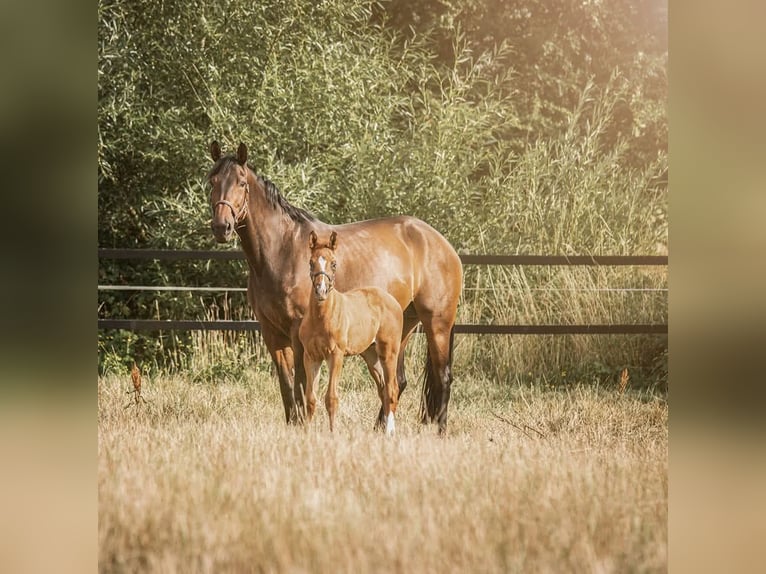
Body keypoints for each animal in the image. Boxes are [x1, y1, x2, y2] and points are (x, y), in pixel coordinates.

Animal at [299, 231, 403, 434]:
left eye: (334, 263)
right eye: (311, 262)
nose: (321, 290)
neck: (321, 317)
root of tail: (391, 300)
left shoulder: (336, 355)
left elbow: (331, 398)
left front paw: (333, 433)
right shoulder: (311, 356)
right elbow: (310, 398)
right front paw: (306, 433)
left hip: (389, 352)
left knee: (391, 389)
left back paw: (389, 432)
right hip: (371, 355)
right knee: (383, 389)